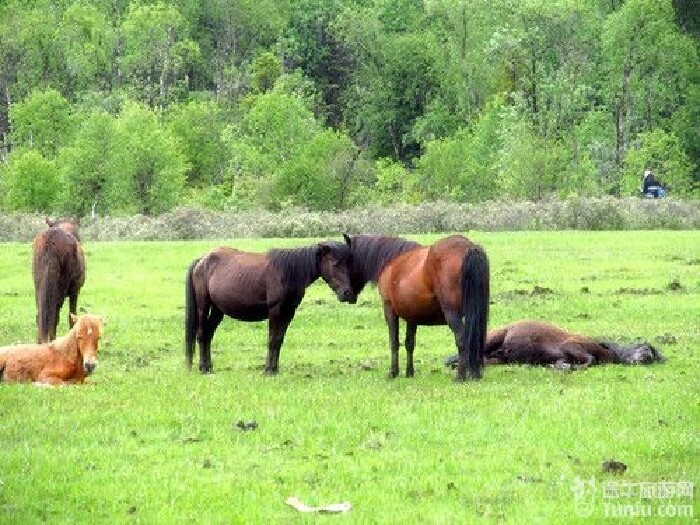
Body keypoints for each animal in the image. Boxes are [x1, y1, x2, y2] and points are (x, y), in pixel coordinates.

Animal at [185, 237, 356, 372]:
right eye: (335, 263)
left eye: (348, 264)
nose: (348, 294)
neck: (288, 272)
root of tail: (202, 260)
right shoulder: (275, 310)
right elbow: (272, 339)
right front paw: (268, 370)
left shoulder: (288, 312)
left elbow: (278, 340)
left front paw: (274, 369)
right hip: (203, 306)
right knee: (201, 334)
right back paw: (203, 368)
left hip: (218, 310)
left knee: (208, 334)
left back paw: (208, 367)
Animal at [346, 234, 490, 380]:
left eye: (341, 261)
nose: (345, 295)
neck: (391, 263)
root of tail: (469, 247)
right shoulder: (412, 316)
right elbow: (409, 343)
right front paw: (409, 372)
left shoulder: (389, 309)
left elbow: (394, 342)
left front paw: (393, 372)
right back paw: (474, 374)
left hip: (452, 314)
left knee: (462, 339)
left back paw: (460, 377)